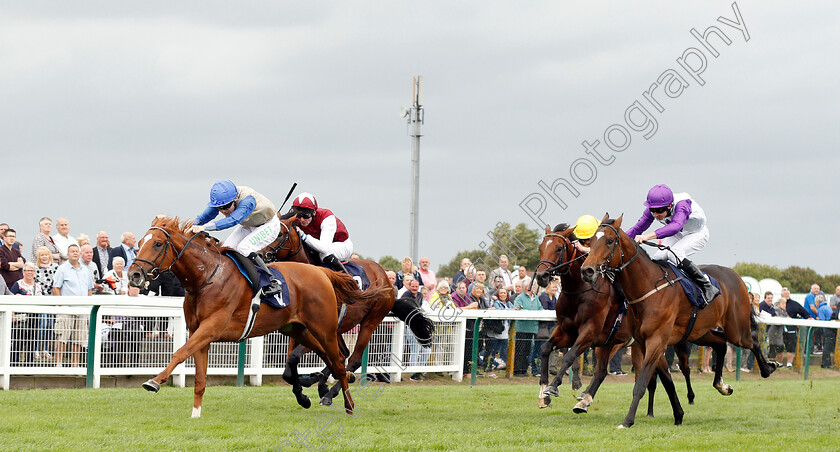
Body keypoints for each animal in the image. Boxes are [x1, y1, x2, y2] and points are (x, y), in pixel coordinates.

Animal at [128, 215, 394, 416]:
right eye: (140, 241)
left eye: (158, 244)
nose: (134, 275)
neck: (207, 277)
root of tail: (323, 273)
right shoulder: (198, 332)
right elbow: (200, 378)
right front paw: (195, 414)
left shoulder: (211, 328)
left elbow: (180, 352)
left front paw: (154, 381)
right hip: (301, 330)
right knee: (334, 359)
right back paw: (318, 391)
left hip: (334, 327)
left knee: (342, 361)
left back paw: (346, 404)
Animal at [260, 212, 434, 406]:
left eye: (279, 234)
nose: (260, 253)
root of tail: (387, 282)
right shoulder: (299, 328)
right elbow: (288, 369)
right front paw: (305, 390)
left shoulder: (319, 330)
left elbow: (294, 357)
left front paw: (312, 388)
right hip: (340, 329)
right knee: (343, 355)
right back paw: (321, 382)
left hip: (370, 322)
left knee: (353, 359)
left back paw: (329, 392)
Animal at [536, 223, 692, 416]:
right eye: (540, 248)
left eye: (558, 248)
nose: (541, 276)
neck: (579, 290)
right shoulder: (566, 331)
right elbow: (545, 348)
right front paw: (543, 394)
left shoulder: (589, 332)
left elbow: (569, 356)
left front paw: (553, 387)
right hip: (621, 344)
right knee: (605, 371)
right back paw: (585, 401)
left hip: (643, 343)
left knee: (660, 376)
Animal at [580, 215, 776, 428]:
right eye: (591, 241)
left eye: (609, 241)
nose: (587, 270)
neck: (648, 287)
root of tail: (736, 276)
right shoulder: (642, 342)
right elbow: (664, 380)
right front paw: (678, 414)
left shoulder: (656, 341)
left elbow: (641, 384)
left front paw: (627, 421)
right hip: (698, 332)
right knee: (721, 344)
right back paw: (721, 385)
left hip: (735, 329)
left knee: (752, 340)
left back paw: (768, 368)